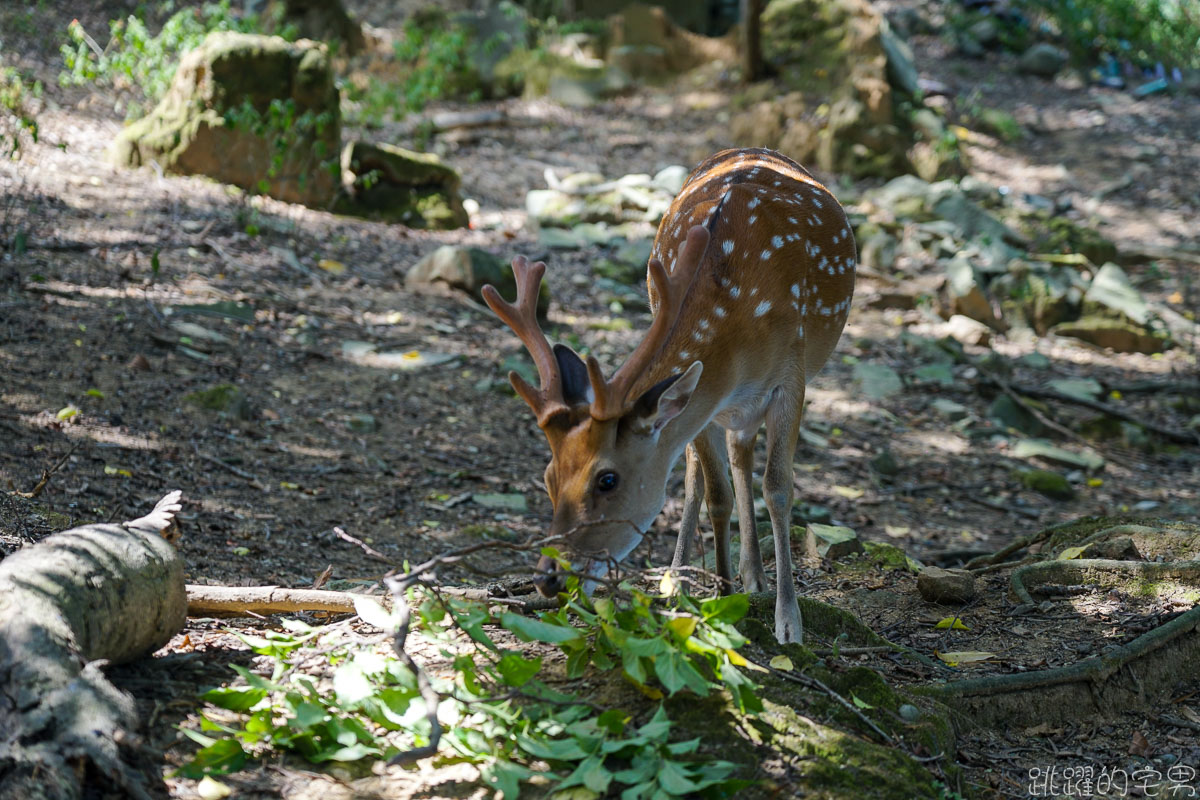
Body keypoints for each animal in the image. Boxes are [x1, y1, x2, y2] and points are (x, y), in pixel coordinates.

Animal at [482, 145, 859, 642]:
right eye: (548, 476)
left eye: (607, 479)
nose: (549, 577)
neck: (741, 345)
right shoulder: (706, 401)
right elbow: (715, 491)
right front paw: (721, 599)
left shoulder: (790, 377)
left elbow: (778, 488)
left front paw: (788, 622)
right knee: (707, 468)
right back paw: (683, 578)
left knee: (741, 457)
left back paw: (754, 578)